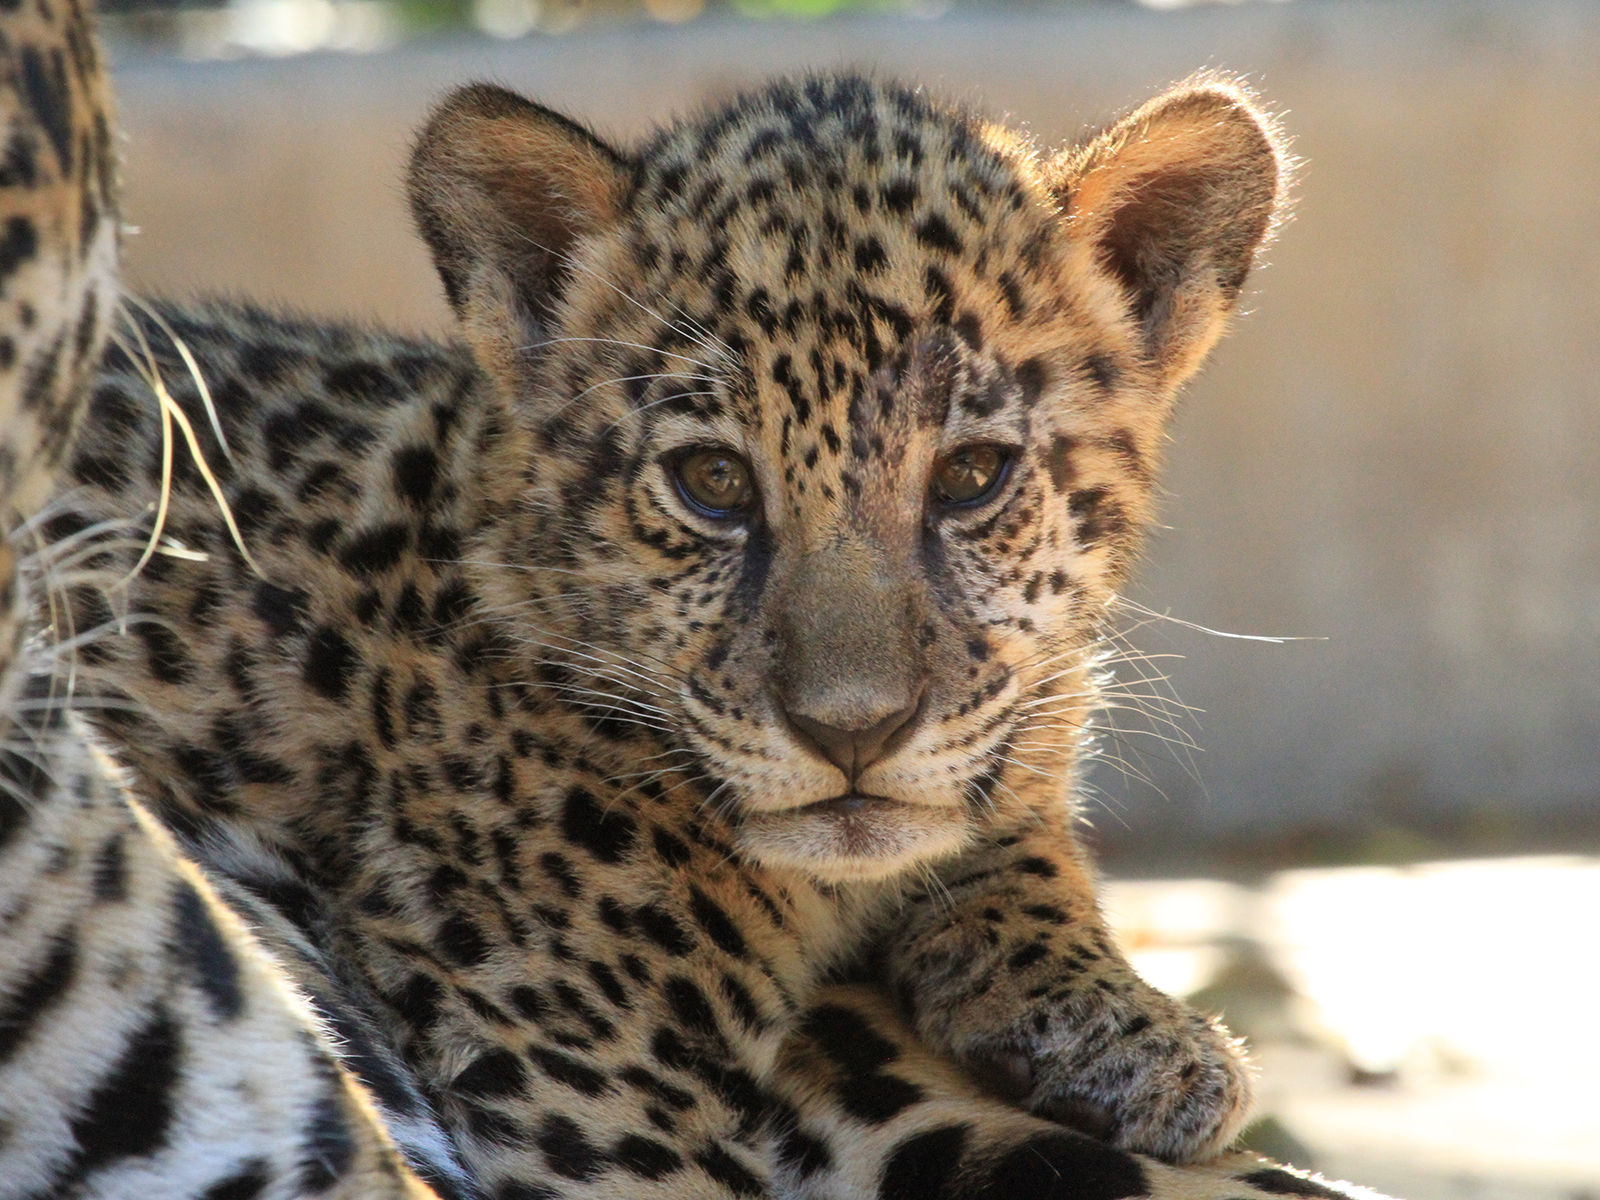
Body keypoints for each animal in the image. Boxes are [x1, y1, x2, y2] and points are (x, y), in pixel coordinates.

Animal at [0, 4, 1396, 1196]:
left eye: (972, 476)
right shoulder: (573, 1089)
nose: (849, 733)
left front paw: (1131, 1029)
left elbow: (1016, 824)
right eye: (713, 483)